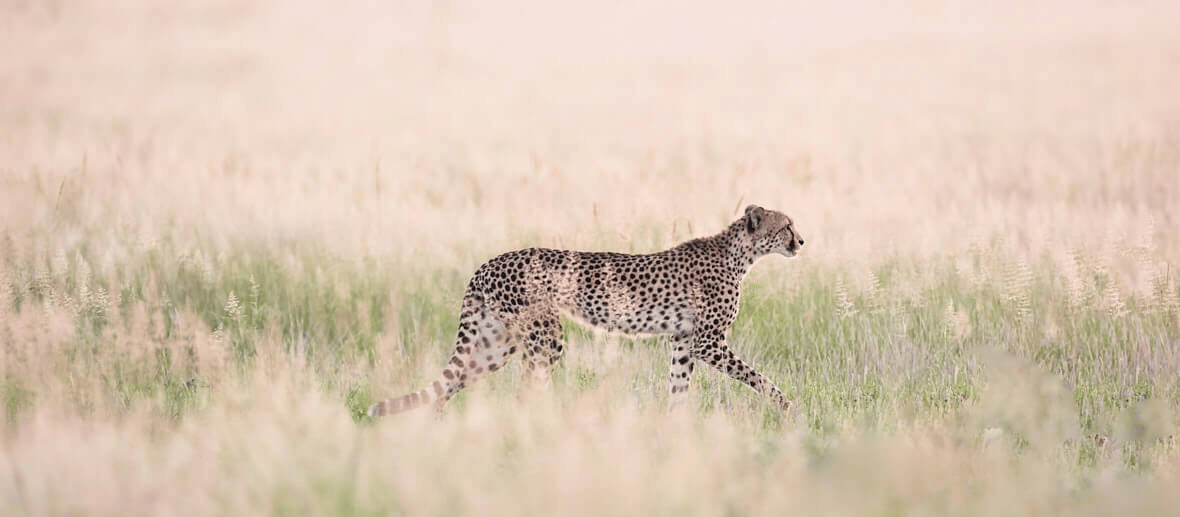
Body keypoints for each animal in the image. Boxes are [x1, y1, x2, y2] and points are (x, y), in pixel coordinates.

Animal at [367, 205, 804, 417]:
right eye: (786, 225)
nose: (801, 241)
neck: (740, 254)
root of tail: (491, 261)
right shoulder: (708, 343)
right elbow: (759, 378)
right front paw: (787, 408)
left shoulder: (683, 343)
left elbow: (678, 390)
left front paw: (674, 433)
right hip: (545, 336)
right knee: (526, 389)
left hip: (497, 342)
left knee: (452, 384)